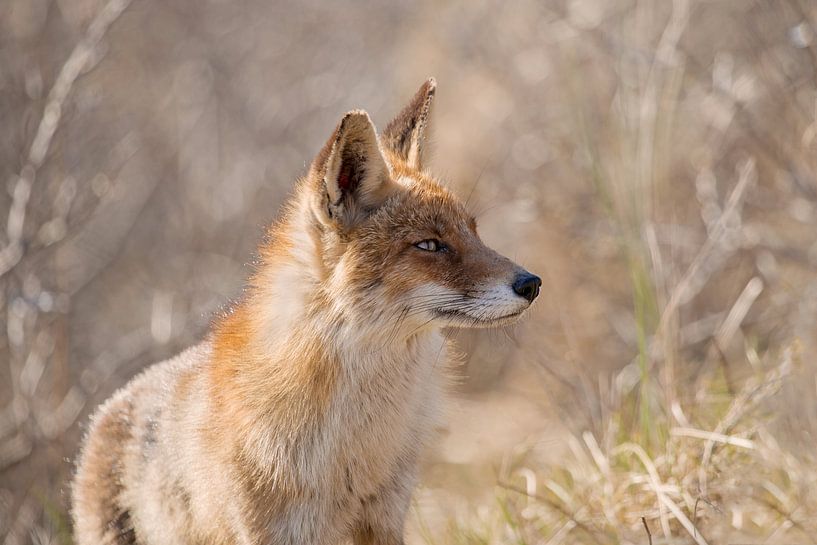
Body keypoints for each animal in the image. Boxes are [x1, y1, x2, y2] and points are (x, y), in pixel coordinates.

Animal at [71, 77, 540, 544]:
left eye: (474, 232)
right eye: (429, 244)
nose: (531, 284)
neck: (347, 455)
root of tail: (105, 412)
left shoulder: (385, 519)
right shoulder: (270, 531)